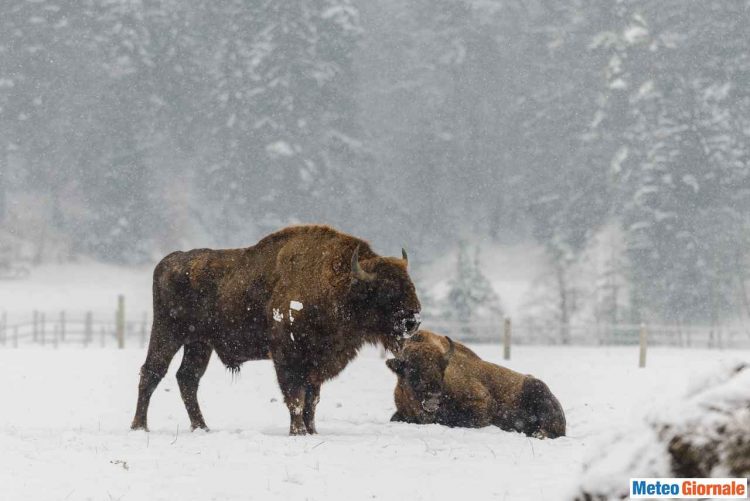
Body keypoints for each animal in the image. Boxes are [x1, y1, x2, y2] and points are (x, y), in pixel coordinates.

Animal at [131, 226, 424, 434]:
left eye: (409, 283)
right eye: (386, 290)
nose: (413, 321)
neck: (337, 283)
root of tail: (170, 260)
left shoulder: (315, 363)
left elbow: (311, 401)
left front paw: (312, 431)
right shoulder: (287, 356)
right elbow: (295, 397)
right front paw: (298, 432)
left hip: (199, 343)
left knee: (187, 378)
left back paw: (202, 427)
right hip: (168, 332)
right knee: (152, 372)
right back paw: (140, 426)